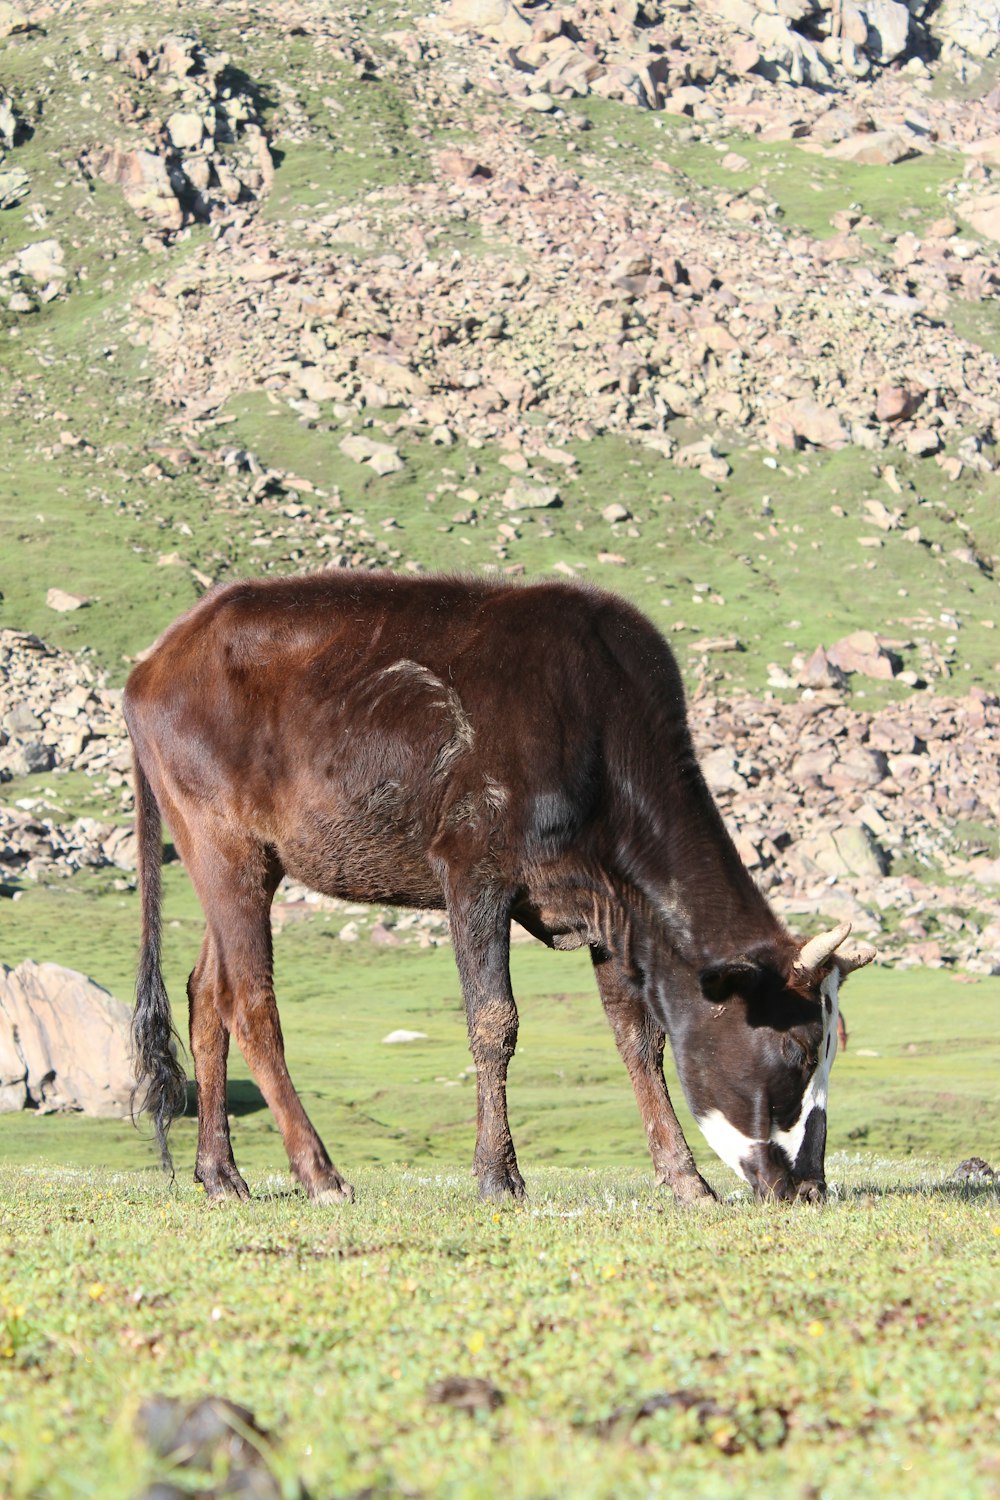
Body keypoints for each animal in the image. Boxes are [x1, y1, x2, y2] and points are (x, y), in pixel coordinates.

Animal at [122, 567, 875, 1212]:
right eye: (798, 1049)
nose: (811, 1187)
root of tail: (155, 661)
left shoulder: (607, 909)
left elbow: (637, 1035)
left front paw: (685, 1179)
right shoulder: (473, 871)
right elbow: (494, 1022)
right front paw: (498, 1176)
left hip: (248, 862)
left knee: (206, 993)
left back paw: (221, 1175)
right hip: (226, 847)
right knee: (250, 1003)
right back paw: (320, 1174)